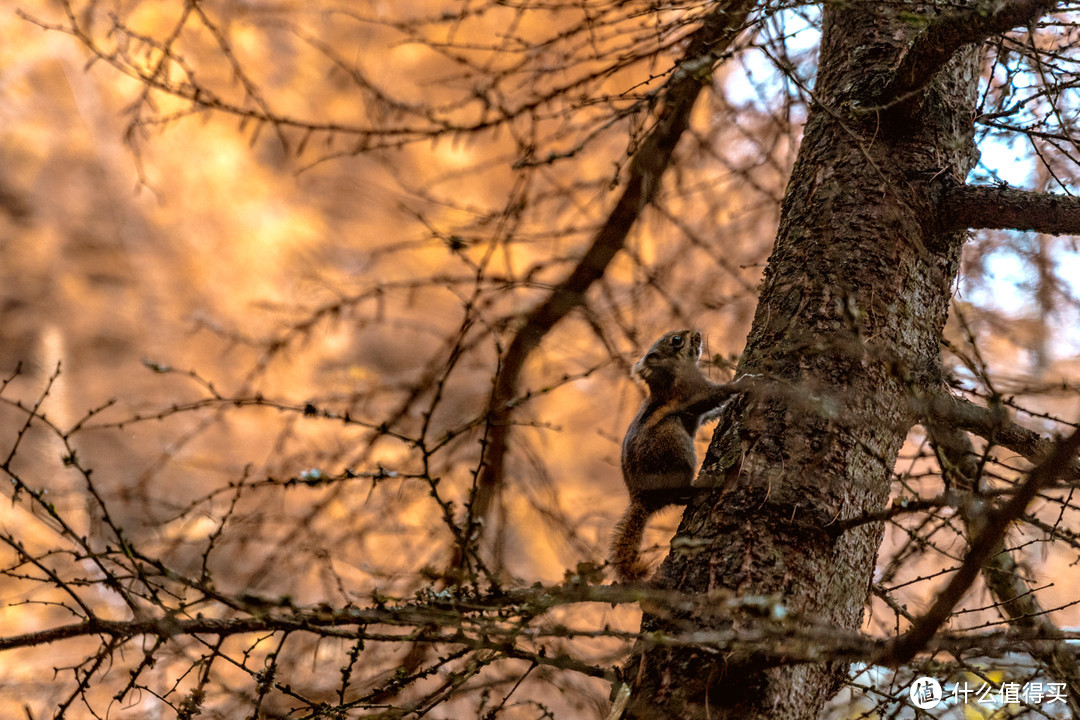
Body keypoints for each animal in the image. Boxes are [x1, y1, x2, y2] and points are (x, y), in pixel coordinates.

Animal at [609, 330, 734, 582]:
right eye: (676, 340)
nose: (697, 333)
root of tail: (642, 500)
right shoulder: (694, 390)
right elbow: (714, 394)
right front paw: (747, 382)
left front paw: (721, 411)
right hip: (675, 447)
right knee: (680, 491)